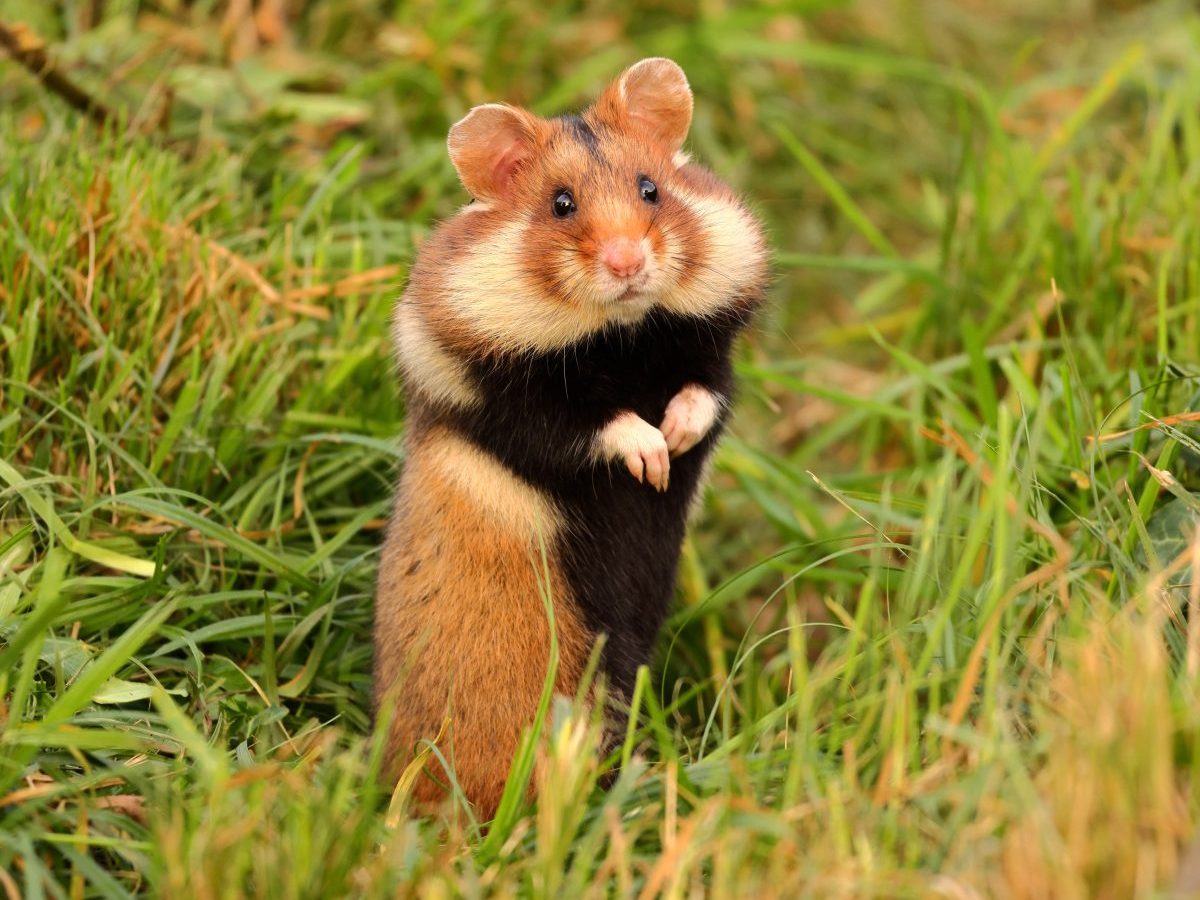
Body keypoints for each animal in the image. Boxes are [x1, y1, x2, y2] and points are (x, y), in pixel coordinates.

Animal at [372, 54, 768, 816]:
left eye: (650, 189)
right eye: (561, 204)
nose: (627, 264)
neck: (623, 334)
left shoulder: (710, 360)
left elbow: (704, 393)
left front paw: (674, 442)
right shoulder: (510, 402)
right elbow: (591, 424)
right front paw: (652, 459)